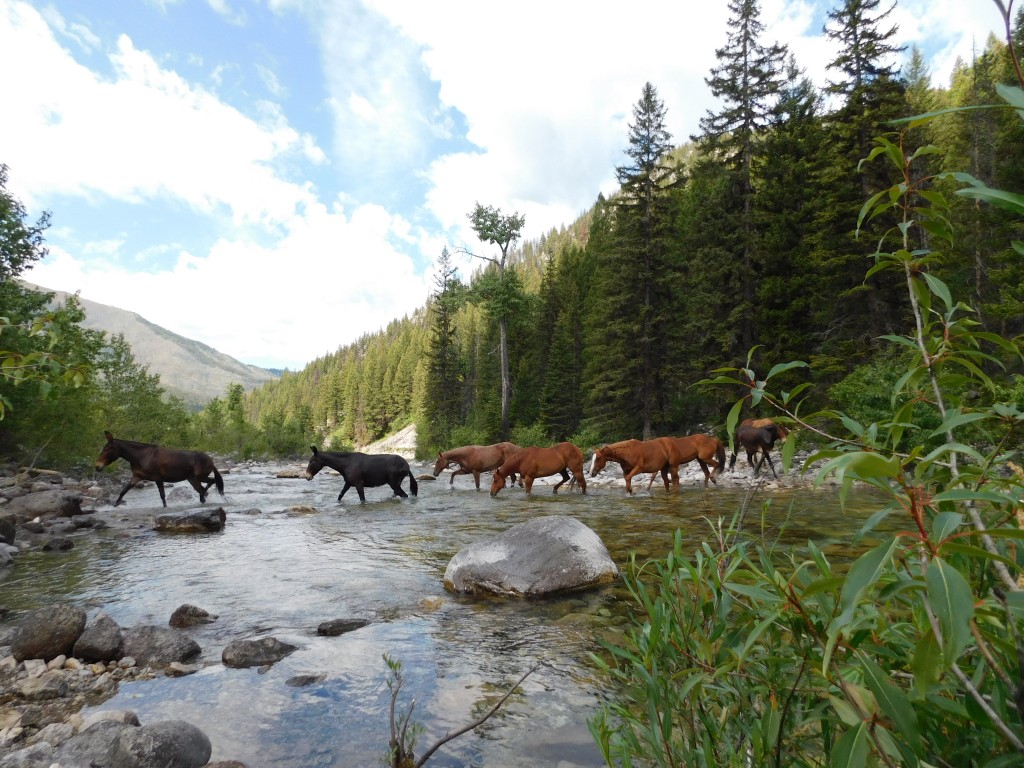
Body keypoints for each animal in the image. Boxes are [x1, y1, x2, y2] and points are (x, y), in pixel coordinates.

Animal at [94, 430, 224, 507]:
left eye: (107, 449)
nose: (97, 466)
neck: (142, 457)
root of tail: (211, 460)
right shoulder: (137, 477)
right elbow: (123, 491)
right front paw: (115, 505)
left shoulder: (158, 478)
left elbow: (162, 496)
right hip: (195, 478)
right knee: (209, 483)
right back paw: (203, 498)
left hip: (197, 478)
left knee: (206, 486)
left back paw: (203, 498)